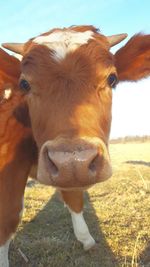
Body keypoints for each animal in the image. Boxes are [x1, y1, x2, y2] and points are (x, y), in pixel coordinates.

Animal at [0, 25, 150, 267]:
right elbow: (8, 217)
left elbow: (74, 198)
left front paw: (86, 239)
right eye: (25, 84)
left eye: (112, 78)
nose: (73, 162)